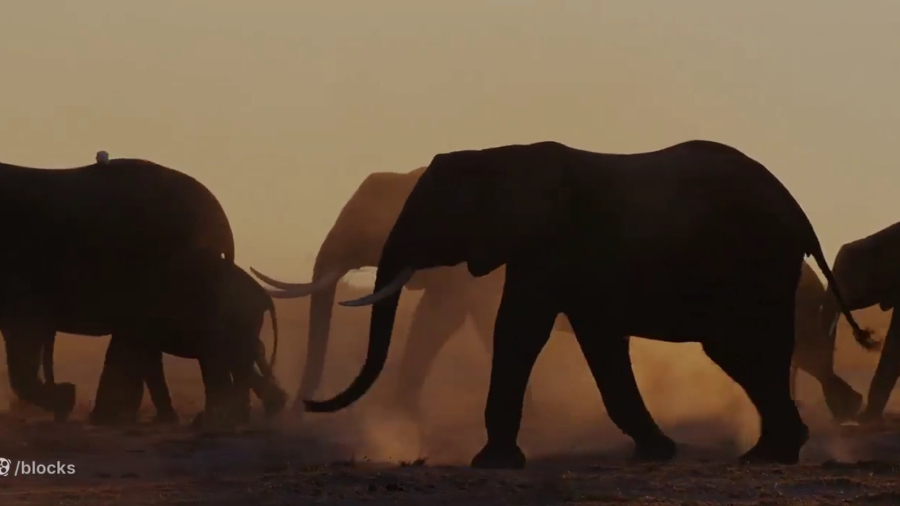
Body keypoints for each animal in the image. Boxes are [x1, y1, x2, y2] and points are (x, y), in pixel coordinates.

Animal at [299, 140, 876, 469]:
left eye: (431, 213)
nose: (308, 404)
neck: (499, 154)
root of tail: (802, 218)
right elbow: (595, 339)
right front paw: (656, 452)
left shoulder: (551, 246)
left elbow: (516, 331)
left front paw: (492, 463)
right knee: (748, 353)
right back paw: (771, 452)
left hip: (755, 263)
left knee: (746, 347)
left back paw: (784, 446)